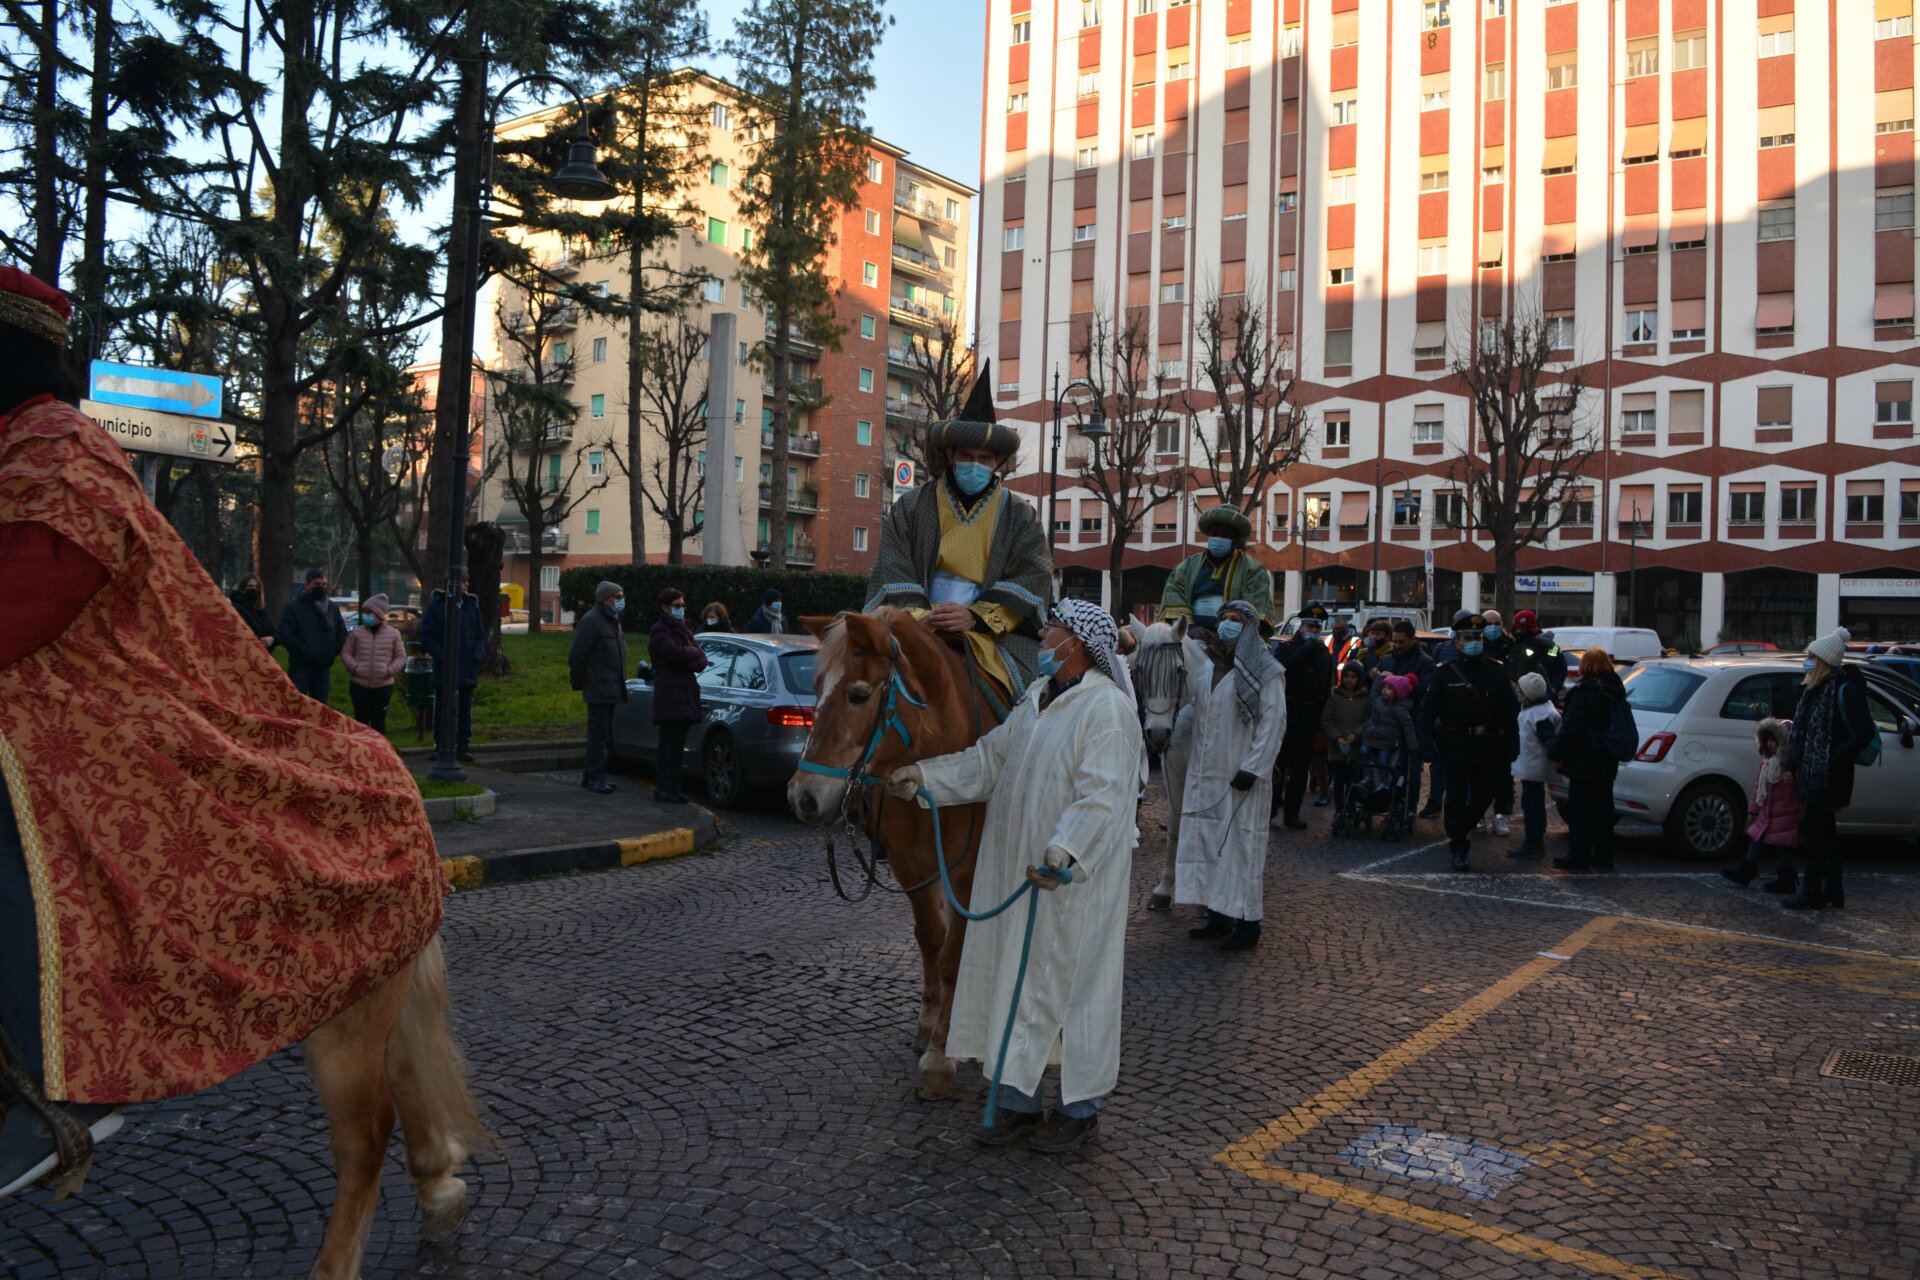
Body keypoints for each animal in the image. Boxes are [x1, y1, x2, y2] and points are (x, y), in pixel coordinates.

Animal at [783, 610, 998, 1105]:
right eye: (815, 686)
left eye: (859, 695)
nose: (804, 797)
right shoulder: (911, 866)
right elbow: (932, 940)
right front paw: (929, 1026)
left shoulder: (966, 874)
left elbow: (955, 954)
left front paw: (940, 1057)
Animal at [1121, 617, 1198, 909]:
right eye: (1139, 669)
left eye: (1178, 670)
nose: (1157, 732)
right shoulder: (1172, 769)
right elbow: (1175, 825)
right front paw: (1164, 889)